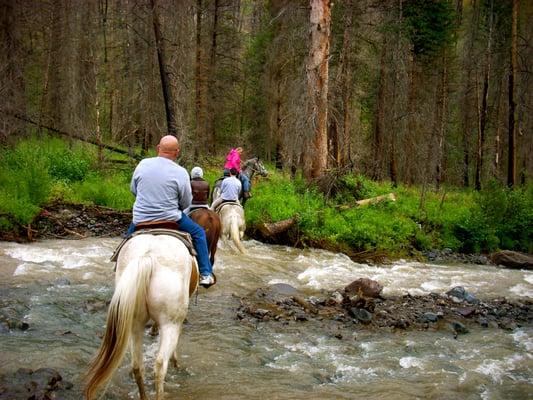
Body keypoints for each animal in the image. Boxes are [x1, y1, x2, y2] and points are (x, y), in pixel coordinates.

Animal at [85, 234, 197, 400]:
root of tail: (147, 256)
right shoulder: (177, 321)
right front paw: (176, 363)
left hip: (134, 323)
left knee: (137, 366)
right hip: (170, 324)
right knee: (160, 365)